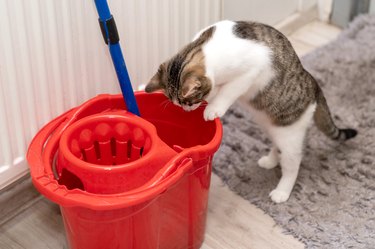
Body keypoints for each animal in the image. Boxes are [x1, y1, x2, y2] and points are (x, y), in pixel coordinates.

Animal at [145, 19, 358, 202]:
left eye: (188, 102)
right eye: (180, 104)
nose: (187, 110)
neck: (204, 45)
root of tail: (314, 85)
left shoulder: (249, 73)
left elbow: (228, 91)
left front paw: (213, 109)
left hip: (290, 132)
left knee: (293, 161)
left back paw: (282, 191)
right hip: (272, 127)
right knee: (277, 146)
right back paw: (271, 160)